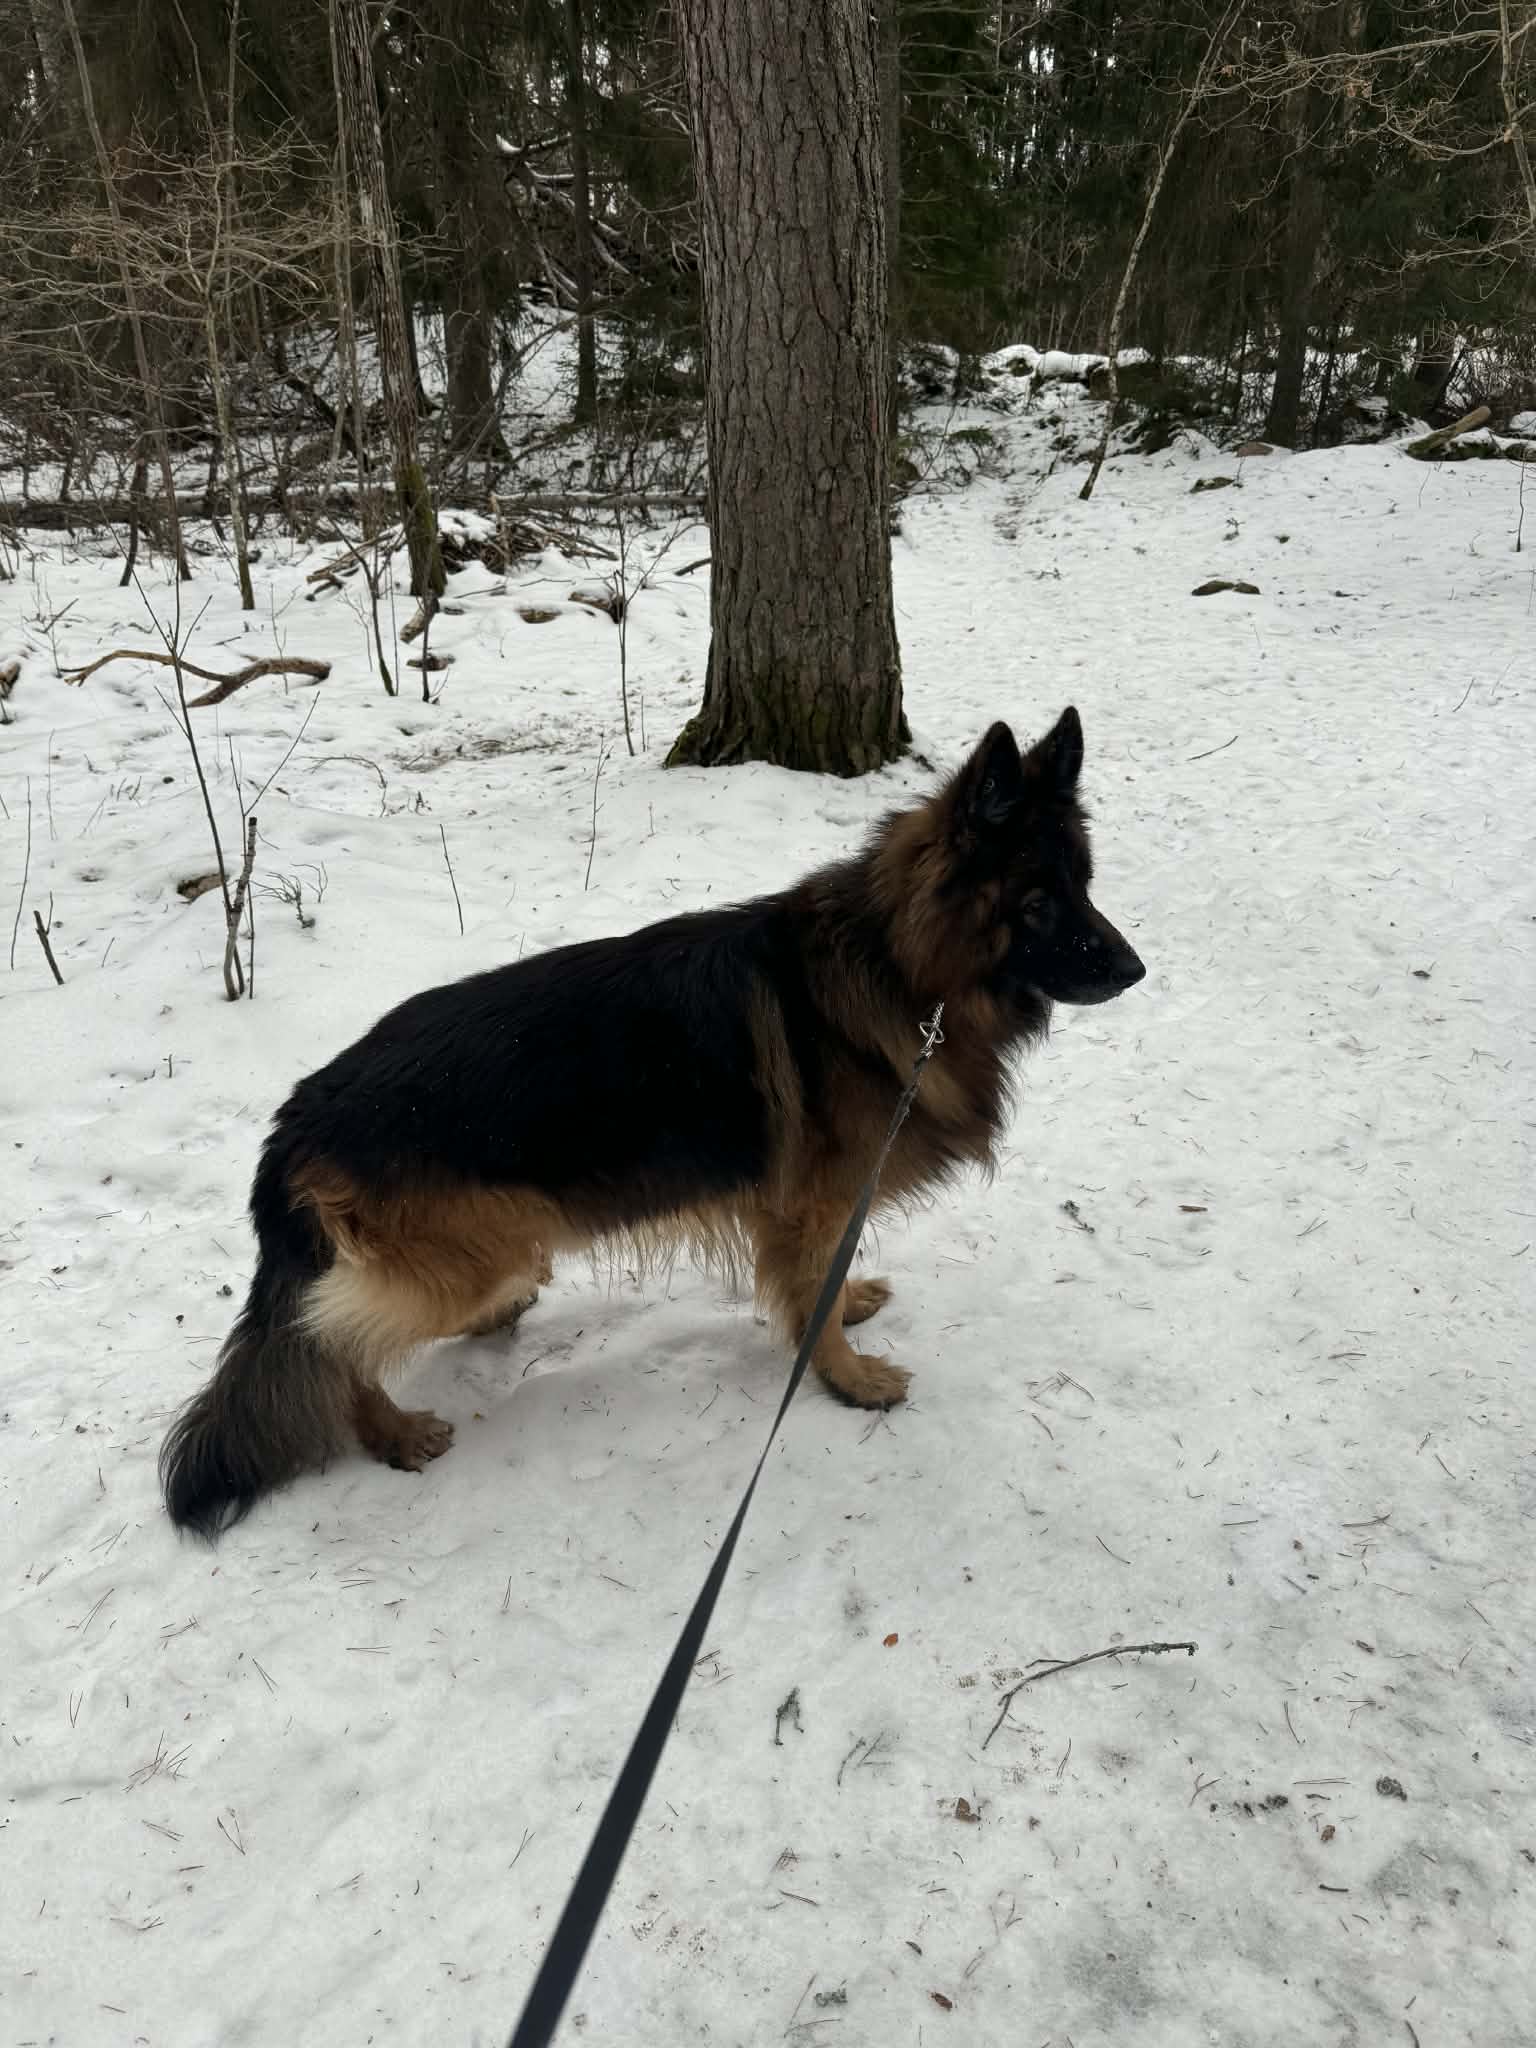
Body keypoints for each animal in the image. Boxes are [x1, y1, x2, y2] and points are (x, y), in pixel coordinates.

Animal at [160, 710, 1144, 1537]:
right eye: (1039, 901)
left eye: (1087, 885)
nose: (1135, 971)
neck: (898, 970)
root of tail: (298, 1115)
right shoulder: (810, 1206)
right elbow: (811, 1303)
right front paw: (848, 1379)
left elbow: (825, 1284)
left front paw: (851, 1303)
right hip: (477, 1253)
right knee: (329, 1338)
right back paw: (391, 1433)